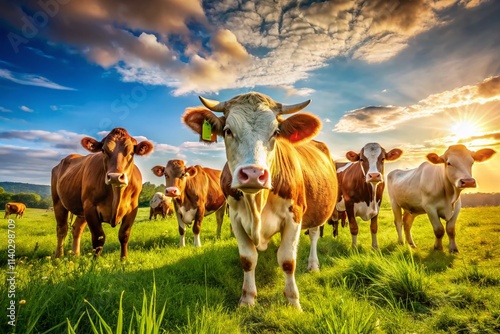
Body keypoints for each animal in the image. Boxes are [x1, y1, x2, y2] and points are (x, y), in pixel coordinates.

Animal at [50, 127, 153, 258]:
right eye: (103, 150)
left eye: (131, 152)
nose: (115, 177)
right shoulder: (90, 207)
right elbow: (98, 238)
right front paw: (95, 262)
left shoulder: (132, 208)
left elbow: (124, 235)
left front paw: (123, 260)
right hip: (58, 201)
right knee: (62, 229)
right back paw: (58, 256)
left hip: (81, 210)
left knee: (76, 228)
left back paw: (75, 255)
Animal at [182, 92, 338, 310]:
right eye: (228, 131)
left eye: (276, 132)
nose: (253, 174)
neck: (256, 202)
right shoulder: (236, 218)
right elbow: (248, 259)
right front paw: (247, 298)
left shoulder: (294, 216)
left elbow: (288, 260)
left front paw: (293, 301)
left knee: (314, 234)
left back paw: (313, 265)